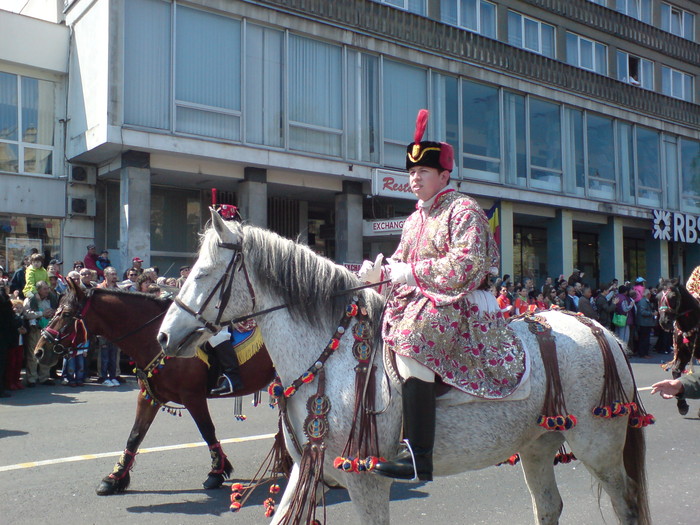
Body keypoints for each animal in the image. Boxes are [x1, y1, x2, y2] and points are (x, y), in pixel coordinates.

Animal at [34, 280, 276, 494]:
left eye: (66, 314)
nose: (39, 351)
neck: (155, 339)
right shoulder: (149, 396)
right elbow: (135, 435)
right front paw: (114, 478)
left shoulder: (193, 397)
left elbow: (207, 431)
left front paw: (217, 472)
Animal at [157, 210, 652, 524]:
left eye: (204, 273)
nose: (164, 336)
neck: (330, 358)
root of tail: (597, 328)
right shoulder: (305, 472)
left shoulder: (365, 481)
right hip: (537, 444)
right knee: (548, 506)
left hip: (598, 444)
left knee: (626, 504)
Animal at [656, 278, 700, 418]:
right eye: (657, 297)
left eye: (673, 297)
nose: (664, 322)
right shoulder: (683, 352)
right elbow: (676, 371)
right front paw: (682, 405)